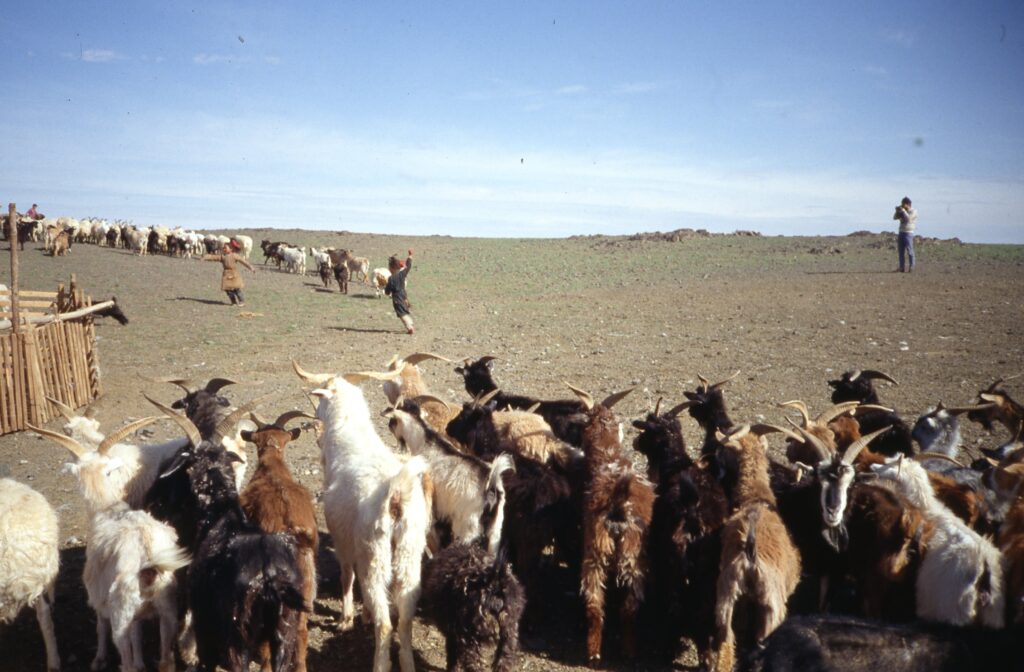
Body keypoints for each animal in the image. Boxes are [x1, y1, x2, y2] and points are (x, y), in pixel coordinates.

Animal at [292, 362, 432, 672]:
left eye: (323, 395)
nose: (316, 415)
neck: (349, 441)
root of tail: (396, 495)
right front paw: (362, 615)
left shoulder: (343, 538)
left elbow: (347, 575)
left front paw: (347, 619)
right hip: (409, 554)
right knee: (405, 619)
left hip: (376, 558)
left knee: (386, 623)